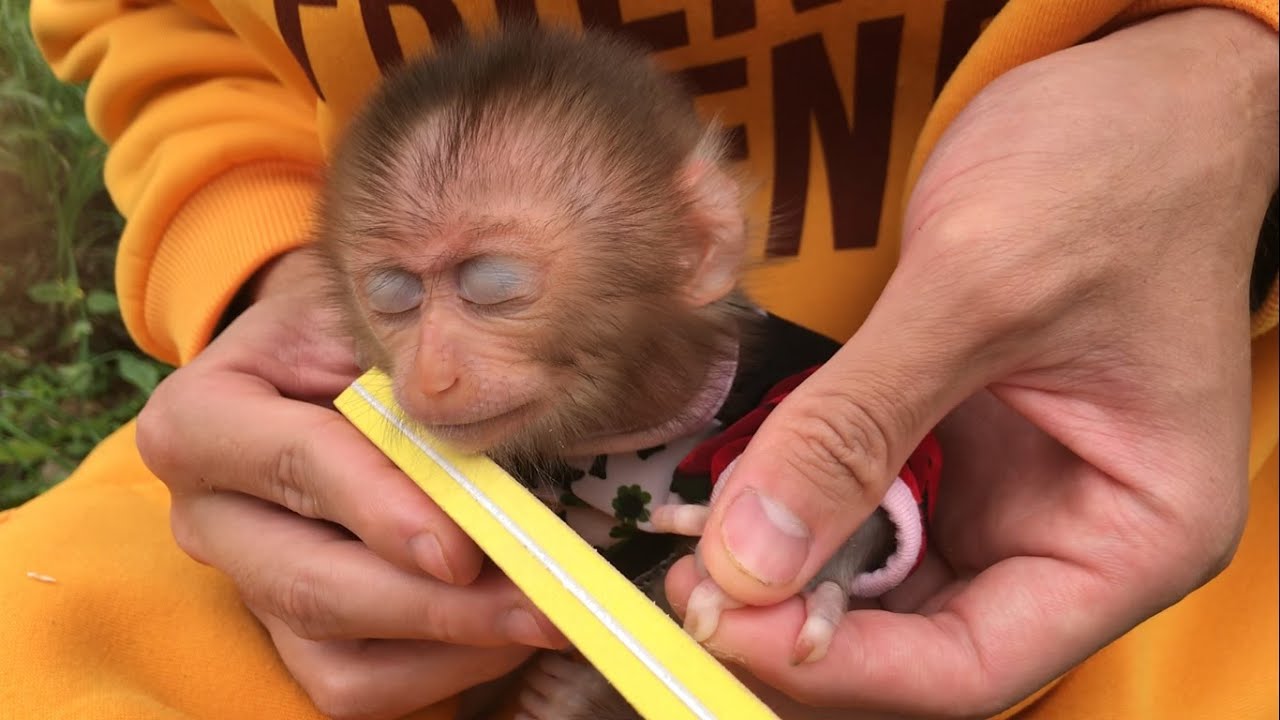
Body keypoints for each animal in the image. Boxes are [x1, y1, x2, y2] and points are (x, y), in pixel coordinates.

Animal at [313, 24, 934, 720]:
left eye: (494, 289)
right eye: (394, 299)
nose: (429, 376)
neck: (620, 430)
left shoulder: (775, 358)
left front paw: (812, 561)